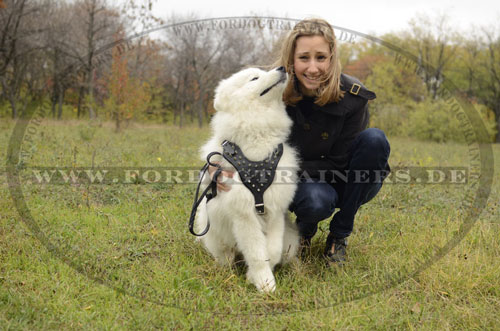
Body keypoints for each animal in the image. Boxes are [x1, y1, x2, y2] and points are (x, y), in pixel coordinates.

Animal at [194, 67, 296, 294]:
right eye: (254, 78)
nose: (282, 68)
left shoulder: (275, 208)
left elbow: (272, 250)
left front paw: (256, 276)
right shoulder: (244, 215)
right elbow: (257, 252)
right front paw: (265, 283)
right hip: (213, 228)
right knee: (226, 255)